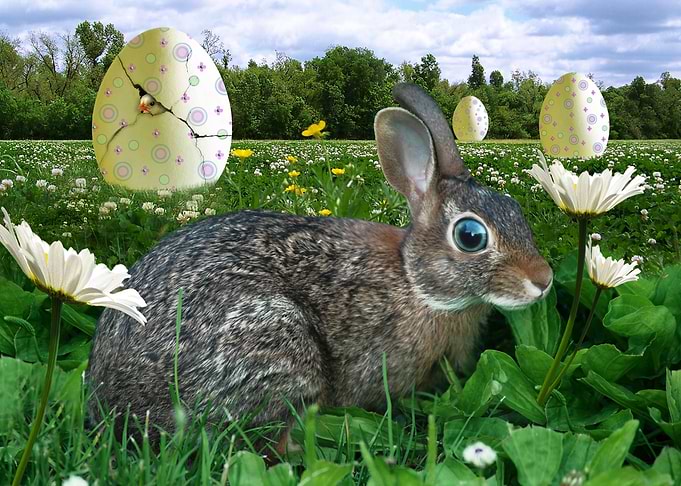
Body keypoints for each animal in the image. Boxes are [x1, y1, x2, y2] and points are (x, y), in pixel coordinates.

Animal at [86, 83, 553, 453]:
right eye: (471, 236)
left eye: (514, 209)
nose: (543, 280)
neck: (414, 281)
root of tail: (110, 404)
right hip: (273, 341)